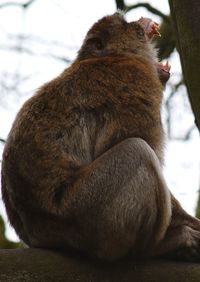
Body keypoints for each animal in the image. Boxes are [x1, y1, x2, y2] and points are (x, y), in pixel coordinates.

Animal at [1, 12, 200, 262]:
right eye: (125, 23)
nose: (138, 21)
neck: (117, 57)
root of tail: (38, 234)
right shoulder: (136, 82)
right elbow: (135, 143)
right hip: (87, 213)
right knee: (138, 150)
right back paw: (156, 248)